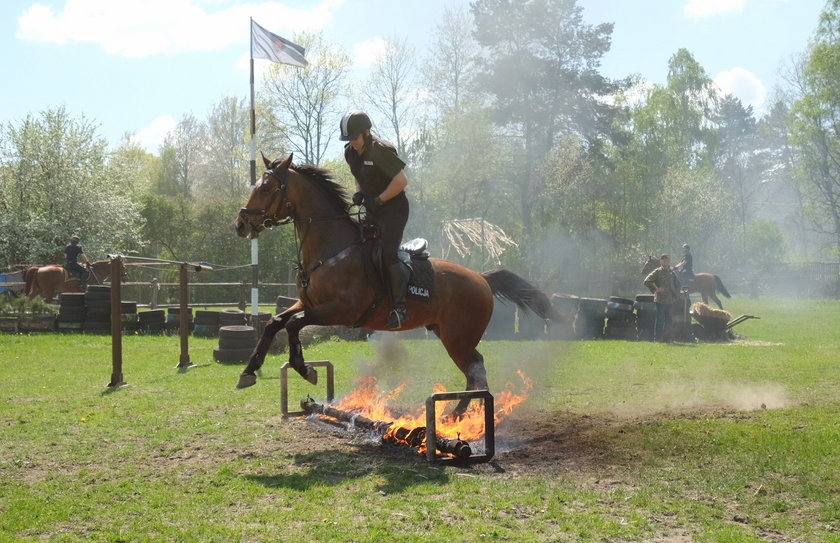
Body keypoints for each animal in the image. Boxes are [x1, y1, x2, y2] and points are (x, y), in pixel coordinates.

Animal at [231, 155, 556, 418]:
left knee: (476, 369)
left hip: (458, 338)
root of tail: (481, 278)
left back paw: (458, 413)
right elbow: (275, 323)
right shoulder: (308, 304)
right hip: (448, 334)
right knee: (474, 369)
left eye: (267, 189)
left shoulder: (341, 311)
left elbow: (294, 324)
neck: (331, 251)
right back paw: (459, 412)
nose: (240, 225)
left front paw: (305, 369)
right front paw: (248, 372)